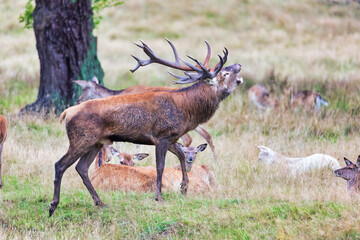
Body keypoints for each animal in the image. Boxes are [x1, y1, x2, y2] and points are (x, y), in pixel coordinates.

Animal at [48, 39, 242, 216]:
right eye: (225, 73)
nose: (238, 65)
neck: (187, 109)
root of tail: (66, 112)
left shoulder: (172, 138)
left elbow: (181, 156)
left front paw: (184, 188)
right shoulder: (162, 136)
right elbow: (160, 166)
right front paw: (159, 197)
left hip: (95, 142)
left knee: (81, 168)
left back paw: (100, 202)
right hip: (81, 139)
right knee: (60, 165)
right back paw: (53, 206)